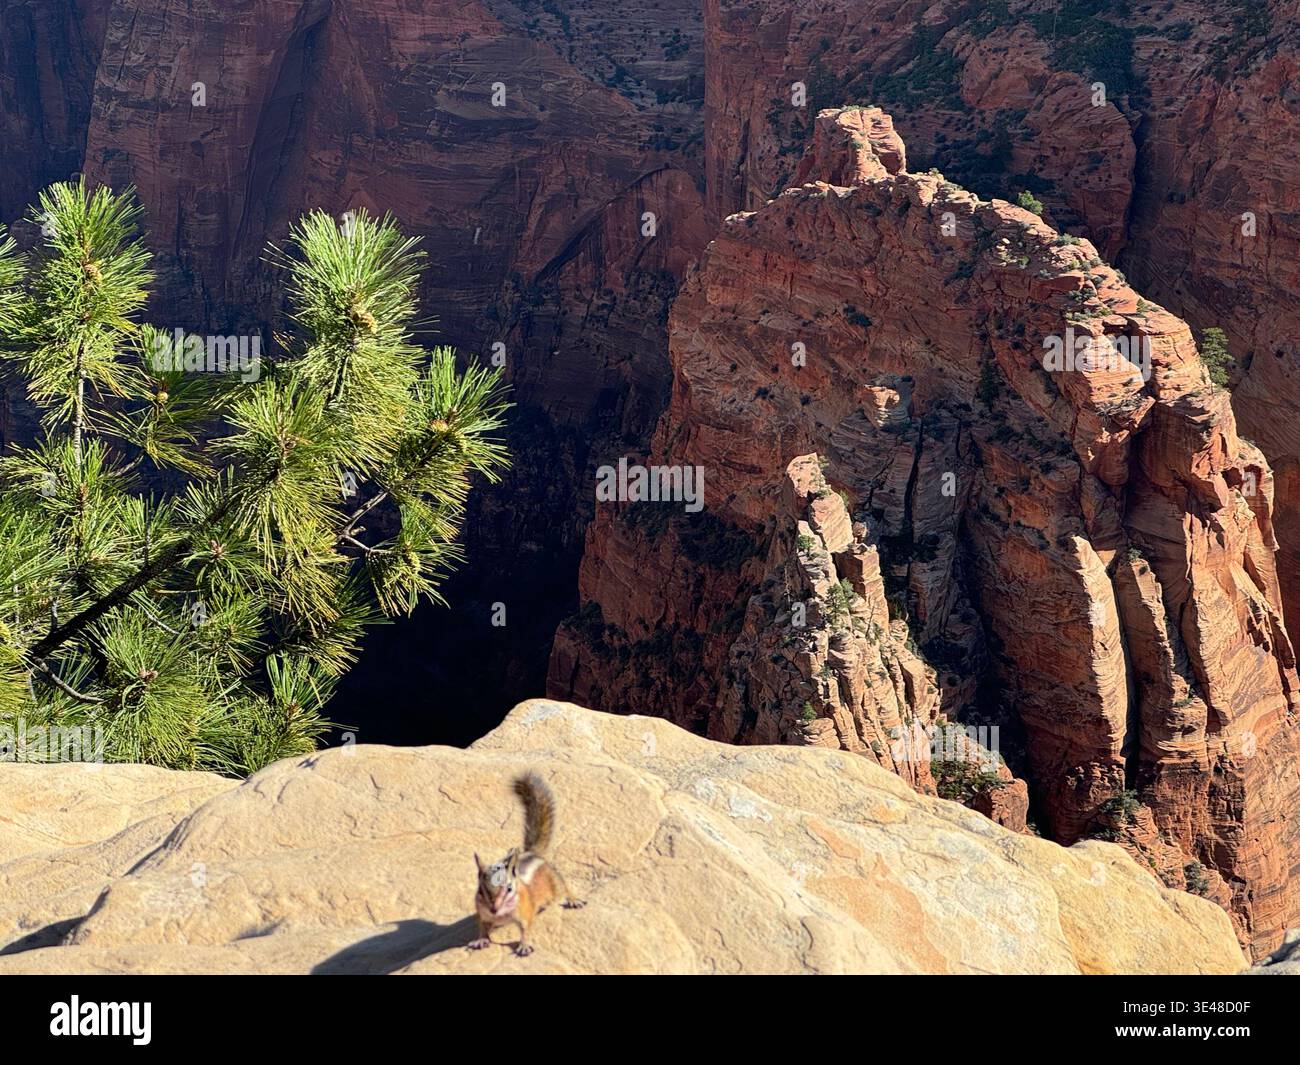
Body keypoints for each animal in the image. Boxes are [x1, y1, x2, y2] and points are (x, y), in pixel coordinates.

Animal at [470, 771, 585, 956]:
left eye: (509, 889)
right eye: (480, 890)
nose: (494, 909)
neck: (501, 915)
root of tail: (532, 853)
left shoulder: (525, 913)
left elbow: (526, 930)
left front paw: (524, 946)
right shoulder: (483, 915)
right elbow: (481, 927)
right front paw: (480, 940)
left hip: (555, 883)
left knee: (564, 887)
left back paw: (573, 900)